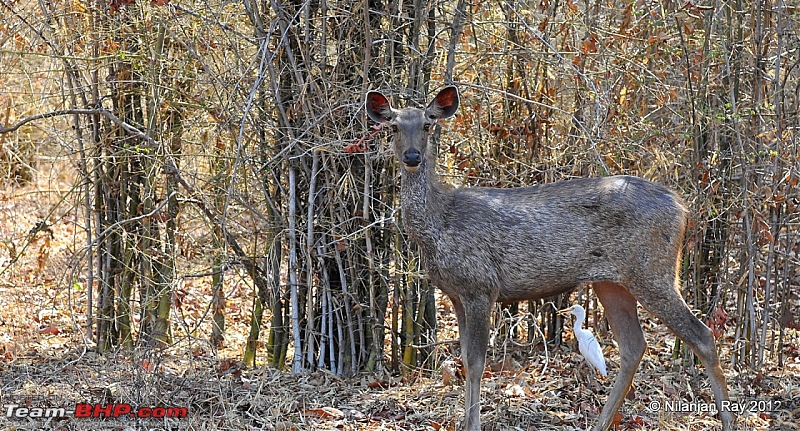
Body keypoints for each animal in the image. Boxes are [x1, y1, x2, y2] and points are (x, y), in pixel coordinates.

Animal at [366, 87, 736, 431]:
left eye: (428, 124)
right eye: (394, 127)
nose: (412, 156)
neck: (439, 224)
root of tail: (683, 208)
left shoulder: (480, 286)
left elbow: (477, 363)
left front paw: (473, 425)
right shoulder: (457, 294)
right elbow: (465, 360)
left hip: (653, 271)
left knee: (702, 336)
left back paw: (728, 420)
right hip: (612, 282)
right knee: (634, 346)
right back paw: (601, 423)